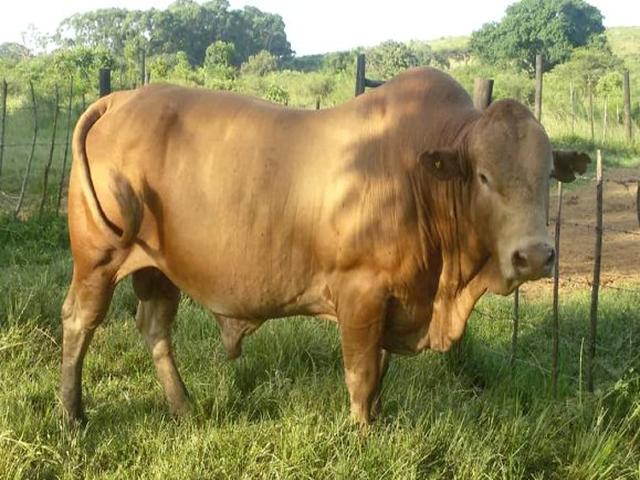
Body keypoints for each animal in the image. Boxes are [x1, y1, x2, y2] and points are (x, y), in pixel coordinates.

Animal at [60, 67, 589, 426]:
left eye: (548, 175)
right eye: (482, 176)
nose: (534, 256)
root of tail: (123, 97)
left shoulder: (397, 300)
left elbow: (379, 374)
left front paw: (377, 420)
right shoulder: (361, 294)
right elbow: (361, 373)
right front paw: (362, 433)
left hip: (157, 266)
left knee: (154, 328)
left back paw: (183, 408)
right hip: (98, 258)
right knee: (79, 322)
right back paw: (72, 414)